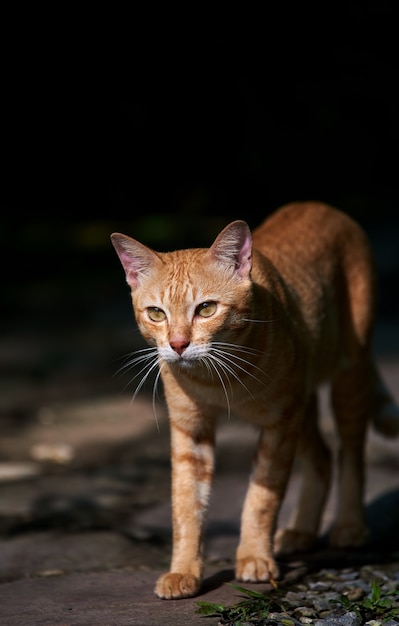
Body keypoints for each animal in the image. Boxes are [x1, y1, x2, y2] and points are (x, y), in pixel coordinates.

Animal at [111, 202, 398, 596]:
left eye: (206, 309)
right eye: (156, 313)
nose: (178, 345)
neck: (217, 378)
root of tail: (318, 205)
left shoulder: (279, 423)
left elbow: (262, 497)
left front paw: (254, 558)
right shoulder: (190, 429)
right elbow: (186, 505)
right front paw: (184, 571)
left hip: (347, 378)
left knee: (350, 451)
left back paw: (350, 526)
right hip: (304, 403)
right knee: (322, 457)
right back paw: (301, 530)